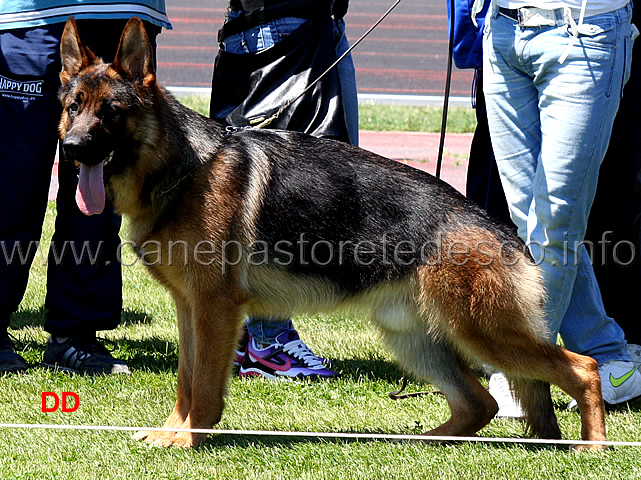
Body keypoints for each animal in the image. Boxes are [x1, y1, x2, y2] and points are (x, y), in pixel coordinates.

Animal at [58, 15, 604, 450]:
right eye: (73, 107)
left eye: (110, 112)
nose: (72, 148)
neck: (180, 167)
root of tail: (501, 228)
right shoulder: (190, 308)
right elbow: (186, 380)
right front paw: (172, 432)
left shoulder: (215, 309)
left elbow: (206, 386)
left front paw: (189, 440)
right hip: (414, 338)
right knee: (479, 404)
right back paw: (426, 441)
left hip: (485, 333)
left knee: (583, 368)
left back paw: (593, 448)